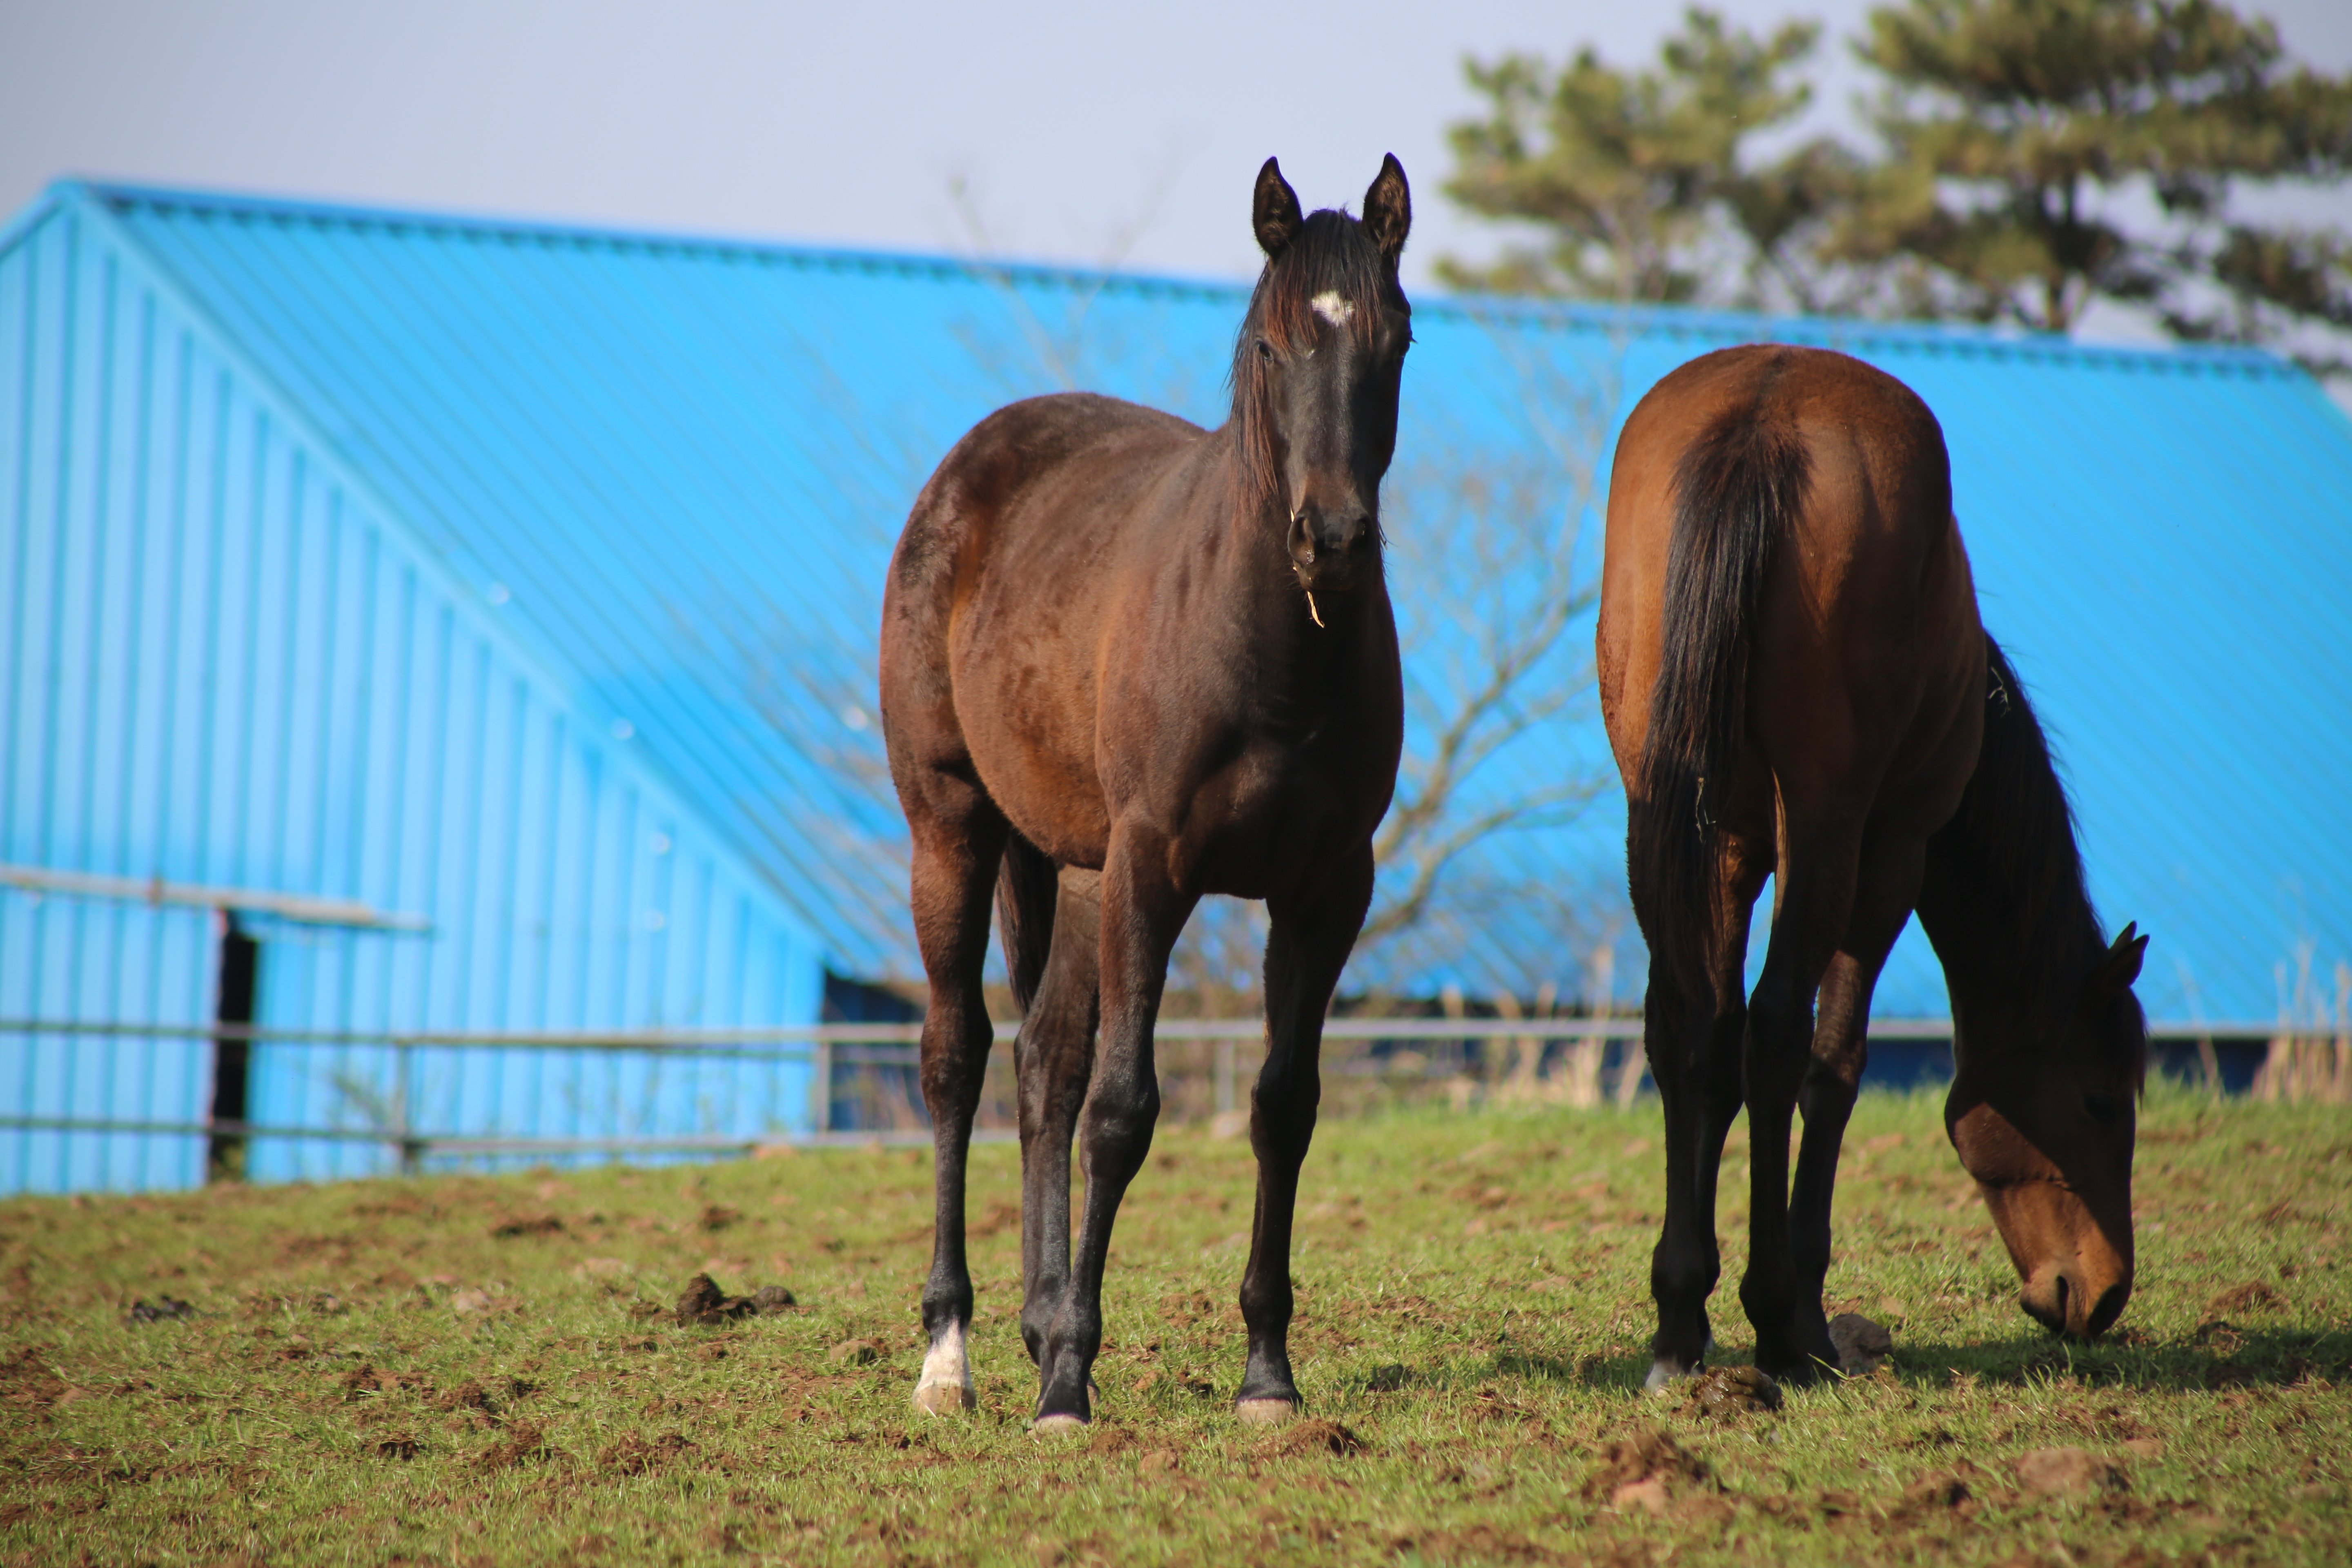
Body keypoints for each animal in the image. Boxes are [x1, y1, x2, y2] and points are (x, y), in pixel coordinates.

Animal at [875, 160, 1401, 1439]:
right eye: (1271, 344)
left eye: (1395, 339)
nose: (1332, 537)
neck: (1275, 656)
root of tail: (969, 466)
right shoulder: (1156, 873)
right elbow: (1123, 1111)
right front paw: (1068, 1384)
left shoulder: (1325, 892)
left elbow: (1282, 1106)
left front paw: (1266, 1372)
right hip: (954, 833)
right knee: (959, 1058)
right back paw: (953, 1356)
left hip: (1074, 872)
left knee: (1040, 1066)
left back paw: (1032, 1321)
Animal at [1599, 341, 2154, 1382]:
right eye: (2100, 1102)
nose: (2101, 1295)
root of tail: (1761, 418)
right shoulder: (1890, 853)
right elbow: (1833, 1064)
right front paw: (1802, 1316)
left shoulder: (1731, 848)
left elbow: (1705, 1045)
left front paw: (1692, 1308)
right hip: (1828, 833)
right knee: (1776, 1035)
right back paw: (1778, 1326)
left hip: (1670, 822)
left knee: (1692, 1029)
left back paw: (1679, 1323)